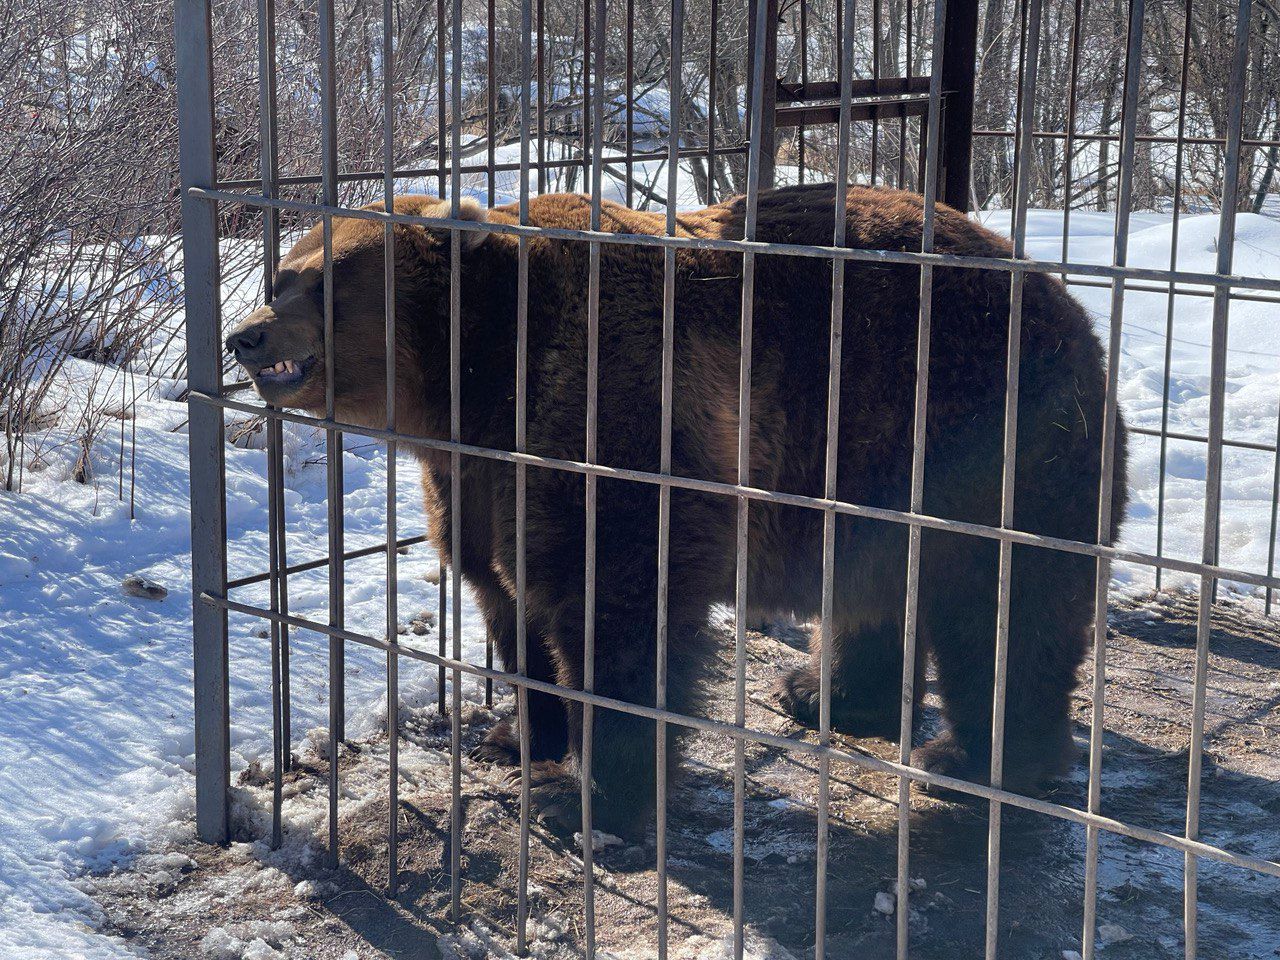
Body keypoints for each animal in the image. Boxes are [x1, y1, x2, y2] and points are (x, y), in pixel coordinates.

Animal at [225, 184, 1126, 839]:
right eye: (279, 274)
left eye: (324, 282)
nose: (245, 334)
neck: (471, 381)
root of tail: (1064, 300)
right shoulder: (477, 475)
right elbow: (507, 597)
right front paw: (515, 737)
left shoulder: (608, 415)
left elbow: (617, 605)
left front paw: (589, 798)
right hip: (874, 469)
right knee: (874, 587)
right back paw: (820, 691)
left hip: (979, 434)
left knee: (1002, 608)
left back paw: (976, 759)